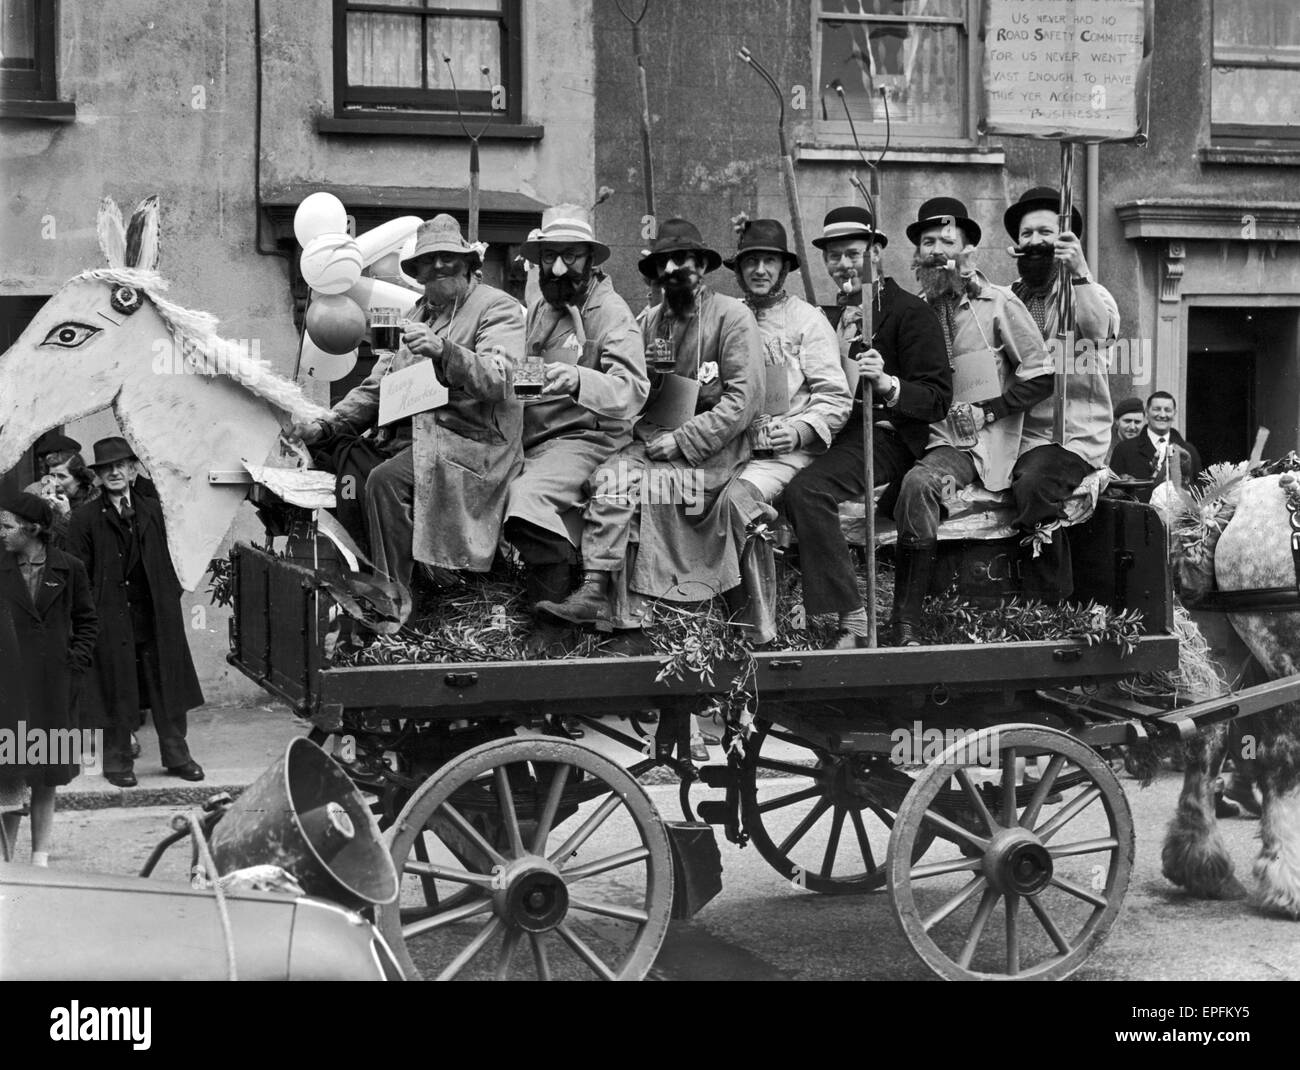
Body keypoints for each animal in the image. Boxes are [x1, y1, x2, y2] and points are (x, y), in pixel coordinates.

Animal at [1159, 468, 1300, 920]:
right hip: (1286, 651)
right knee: (1281, 757)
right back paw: (1288, 881)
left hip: (1222, 653)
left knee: (1207, 740)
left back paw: (1201, 864)